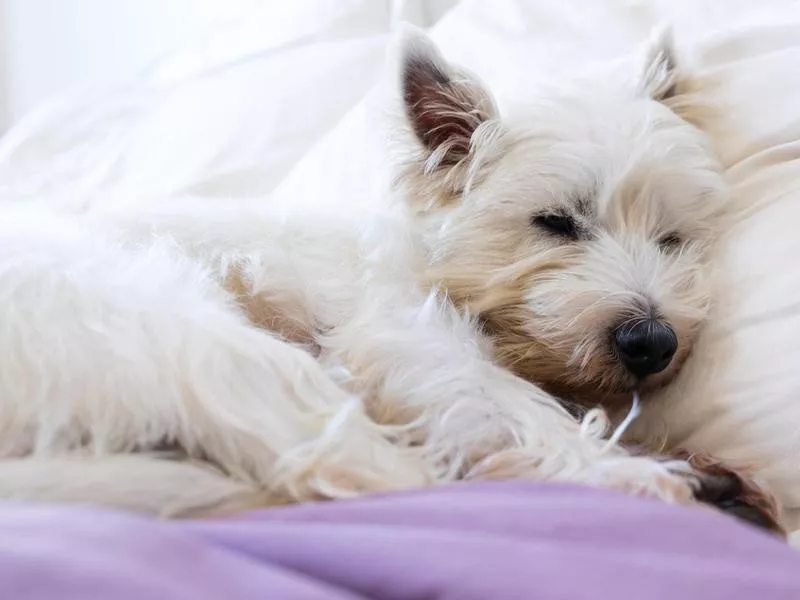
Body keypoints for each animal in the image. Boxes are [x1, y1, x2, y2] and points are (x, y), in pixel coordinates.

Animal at [0, 28, 768, 524]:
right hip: (190, 335)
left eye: (671, 238)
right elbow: (516, 407)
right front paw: (628, 466)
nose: (654, 343)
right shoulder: (409, 339)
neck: (427, 259)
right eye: (555, 222)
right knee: (367, 466)